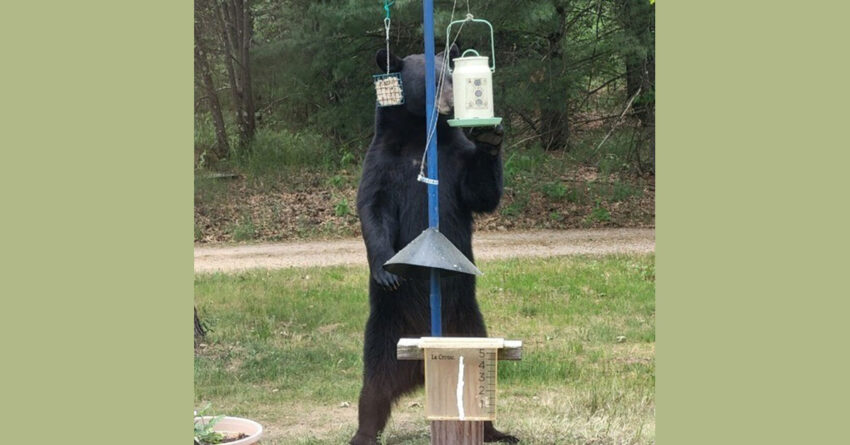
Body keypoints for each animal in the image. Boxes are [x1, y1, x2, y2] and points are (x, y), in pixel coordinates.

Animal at [349, 45, 517, 445]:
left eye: (452, 74)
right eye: (431, 79)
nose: (451, 103)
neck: (418, 140)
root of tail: (421, 371)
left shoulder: (454, 157)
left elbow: (480, 192)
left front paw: (490, 137)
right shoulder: (382, 163)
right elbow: (372, 207)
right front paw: (386, 270)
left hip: (471, 327)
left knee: (479, 394)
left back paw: (497, 432)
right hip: (385, 332)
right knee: (372, 391)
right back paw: (362, 433)